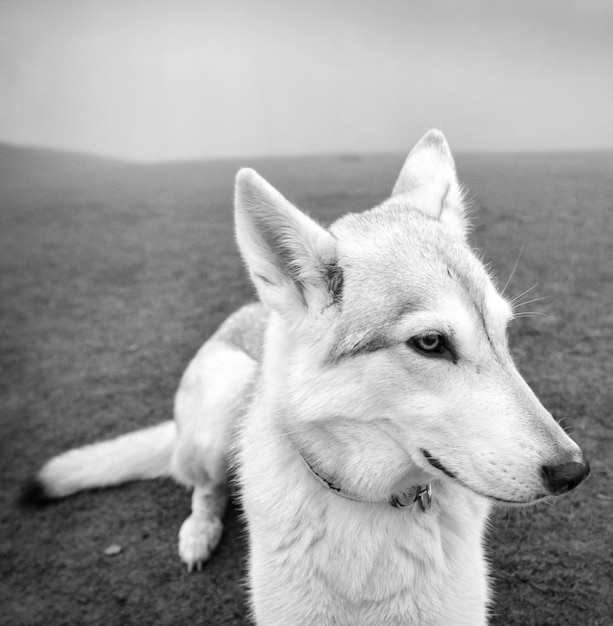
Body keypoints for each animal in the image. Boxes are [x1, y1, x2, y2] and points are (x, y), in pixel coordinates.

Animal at [23, 129, 588, 620]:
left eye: (504, 332)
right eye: (430, 343)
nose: (574, 471)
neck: (373, 503)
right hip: (220, 405)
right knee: (204, 487)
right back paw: (199, 533)